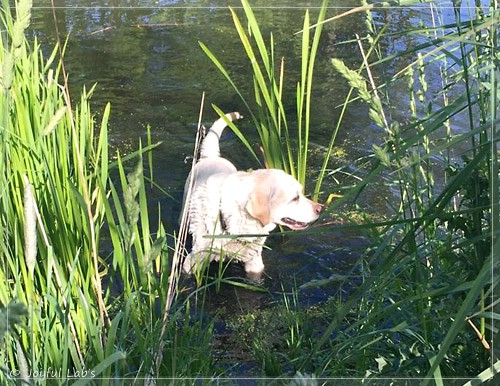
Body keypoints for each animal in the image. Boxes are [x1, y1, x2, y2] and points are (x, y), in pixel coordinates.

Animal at [182, 113, 322, 276]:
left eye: (301, 193)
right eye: (295, 198)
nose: (320, 208)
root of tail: (211, 157)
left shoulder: (254, 260)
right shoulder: (193, 261)